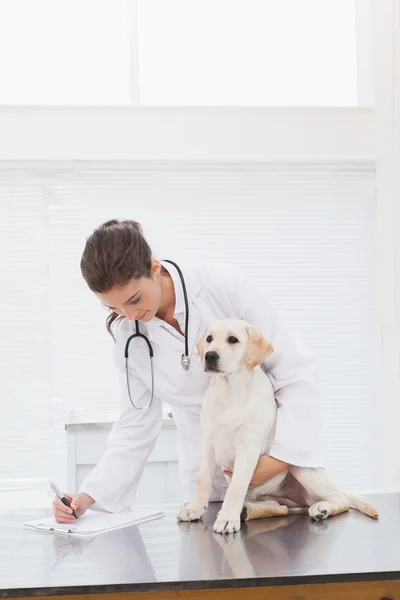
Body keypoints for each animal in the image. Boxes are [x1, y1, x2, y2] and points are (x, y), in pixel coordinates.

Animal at [178, 318, 378, 536]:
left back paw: (321, 509)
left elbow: (236, 486)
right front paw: (195, 508)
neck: (229, 392)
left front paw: (227, 518)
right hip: (276, 499)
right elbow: (203, 479)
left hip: (302, 469)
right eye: (209, 339)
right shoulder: (208, 443)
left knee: (340, 499)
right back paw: (249, 510)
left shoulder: (248, 447)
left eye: (233, 339)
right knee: (278, 507)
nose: (210, 355)